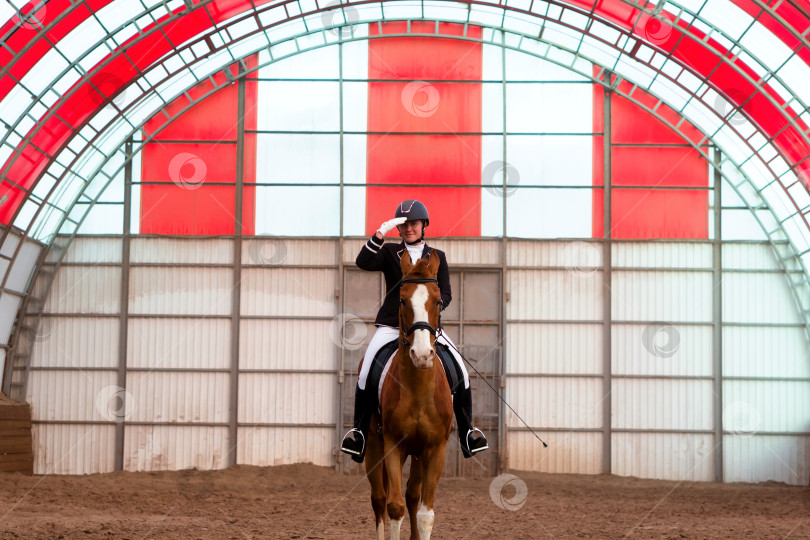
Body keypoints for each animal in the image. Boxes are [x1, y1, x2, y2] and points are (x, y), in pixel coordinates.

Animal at [362, 249, 452, 540]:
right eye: (402, 300)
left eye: (438, 301)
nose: (422, 355)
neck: (417, 390)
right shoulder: (393, 445)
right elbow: (394, 507)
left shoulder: (435, 449)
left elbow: (425, 514)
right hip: (374, 446)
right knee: (379, 498)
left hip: (418, 453)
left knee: (413, 495)